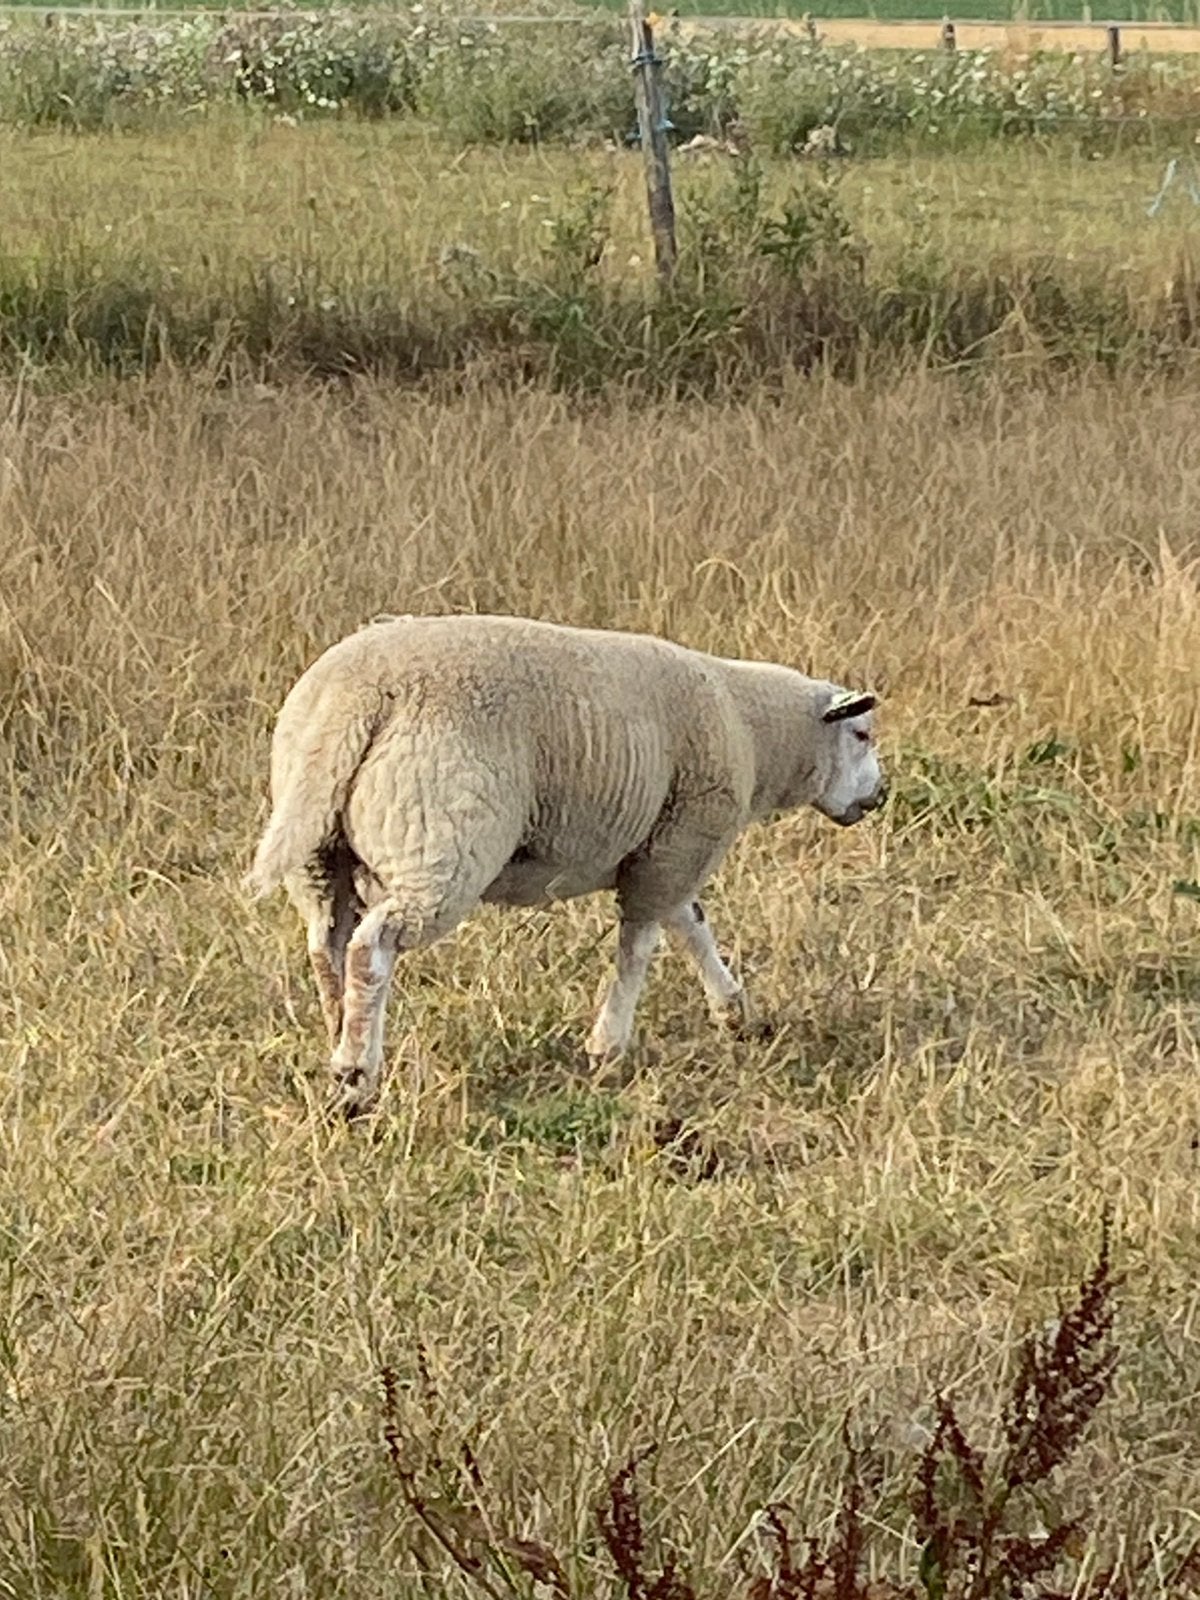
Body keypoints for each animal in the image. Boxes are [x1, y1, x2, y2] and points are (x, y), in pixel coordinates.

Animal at [244, 613, 886, 1117]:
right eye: (861, 733)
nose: (880, 797)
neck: (754, 730)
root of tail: (356, 696)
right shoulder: (679, 841)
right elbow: (641, 945)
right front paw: (608, 1046)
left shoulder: (663, 847)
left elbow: (692, 925)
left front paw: (737, 1014)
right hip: (437, 836)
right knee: (370, 947)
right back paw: (357, 1077)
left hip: (318, 849)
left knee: (327, 944)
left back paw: (339, 1038)